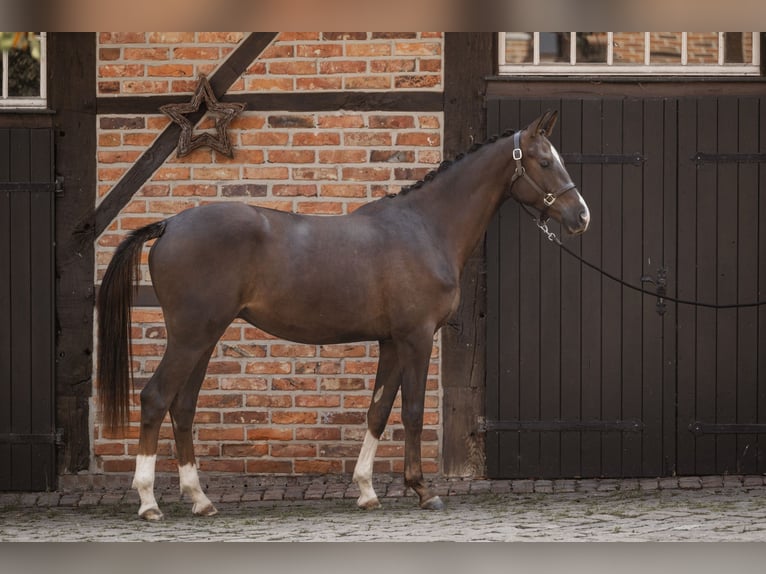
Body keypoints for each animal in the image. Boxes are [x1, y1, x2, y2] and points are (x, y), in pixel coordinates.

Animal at [96, 109, 588, 520]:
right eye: (545, 161)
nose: (581, 217)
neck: (426, 227)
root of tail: (168, 225)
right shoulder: (416, 337)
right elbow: (411, 411)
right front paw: (423, 490)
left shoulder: (390, 341)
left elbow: (378, 410)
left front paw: (367, 490)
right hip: (191, 337)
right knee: (155, 399)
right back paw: (149, 503)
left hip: (204, 338)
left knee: (182, 407)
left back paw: (200, 499)